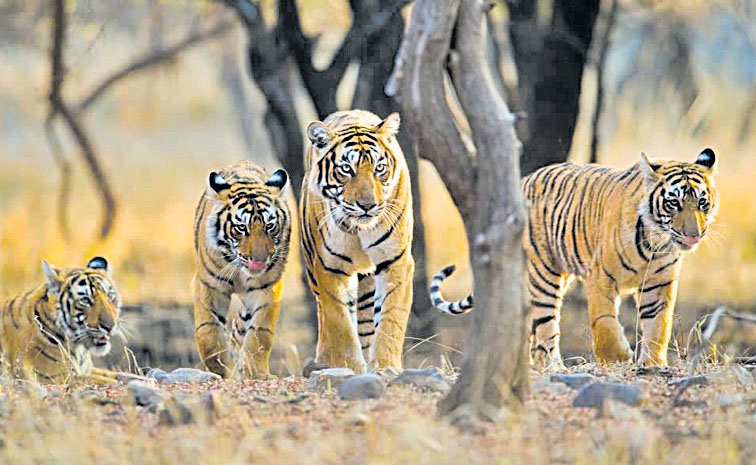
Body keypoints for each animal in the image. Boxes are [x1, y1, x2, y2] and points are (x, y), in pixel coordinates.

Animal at [192, 160, 291, 379]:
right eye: (241, 228)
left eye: (269, 226)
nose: (260, 260)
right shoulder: (209, 284)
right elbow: (208, 332)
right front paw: (221, 369)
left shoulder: (267, 287)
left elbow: (260, 333)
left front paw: (254, 373)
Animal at [300, 110, 414, 373]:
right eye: (346, 169)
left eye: (379, 168)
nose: (367, 205)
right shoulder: (330, 267)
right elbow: (340, 324)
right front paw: (349, 367)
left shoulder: (396, 261)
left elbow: (391, 319)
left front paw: (385, 366)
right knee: (324, 315)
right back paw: (323, 361)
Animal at [430, 149, 718, 368]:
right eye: (674, 203)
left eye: (702, 203)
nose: (694, 234)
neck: (656, 241)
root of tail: (523, 180)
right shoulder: (600, 277)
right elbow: (604, 323)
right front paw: (617, 359)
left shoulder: (659, 284)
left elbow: (659, 325)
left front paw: (653, 363)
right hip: (544, 275)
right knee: (545, 328)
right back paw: (553, 367)